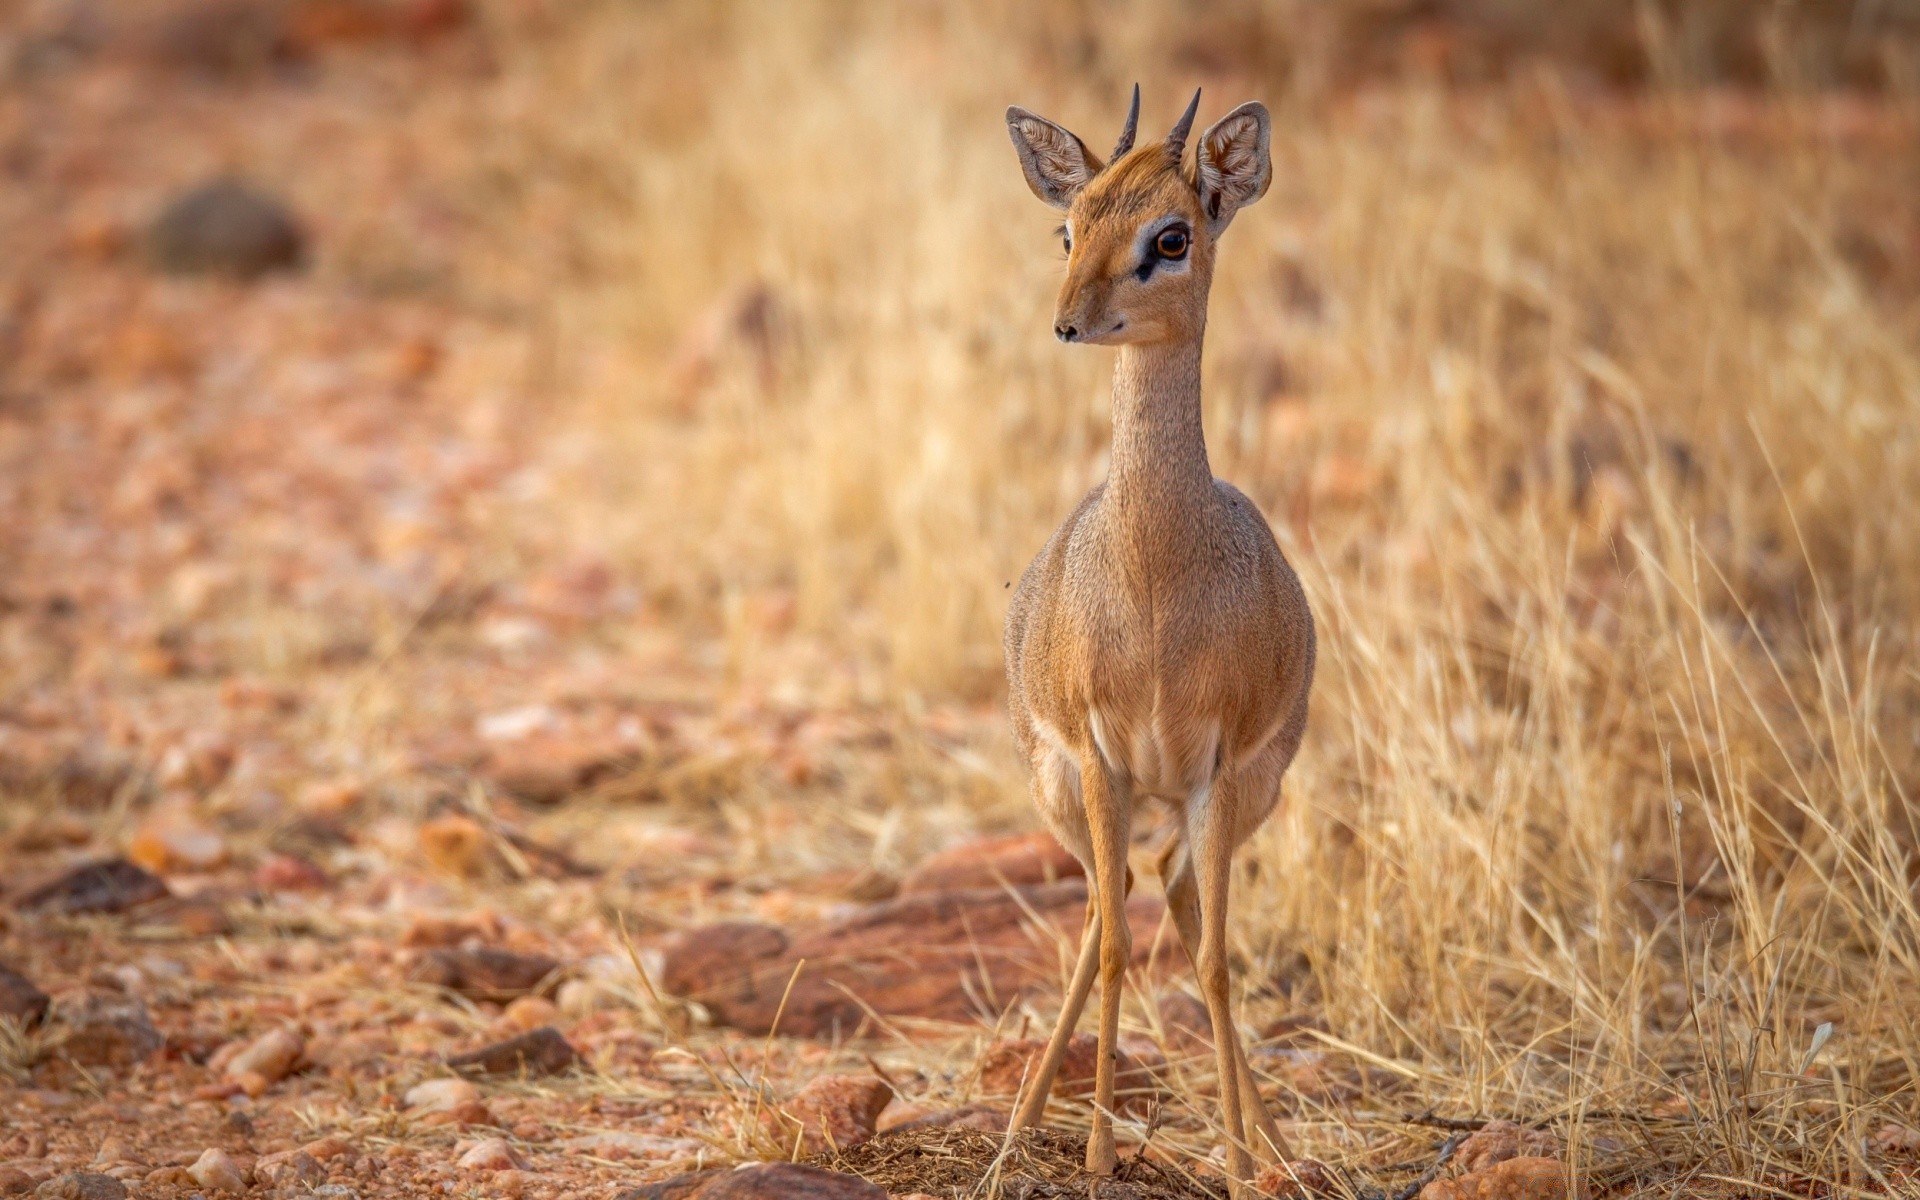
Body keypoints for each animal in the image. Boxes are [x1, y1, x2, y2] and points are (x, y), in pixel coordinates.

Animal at [998, 88, 1313, 1182]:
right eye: (1069, 225)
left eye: (1170, 236)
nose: (1067, 322)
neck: (1155, 584)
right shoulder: (1101, 755)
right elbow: (1118, 945)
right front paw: (1096, 1154)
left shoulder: (1217, 764)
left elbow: (1213, 962)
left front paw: (1240, 1166)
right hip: (1073, 788)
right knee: (1111, 905)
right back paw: (1022, 1126)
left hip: (1233, 796)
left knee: (1170, 894)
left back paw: (1263, 1141)